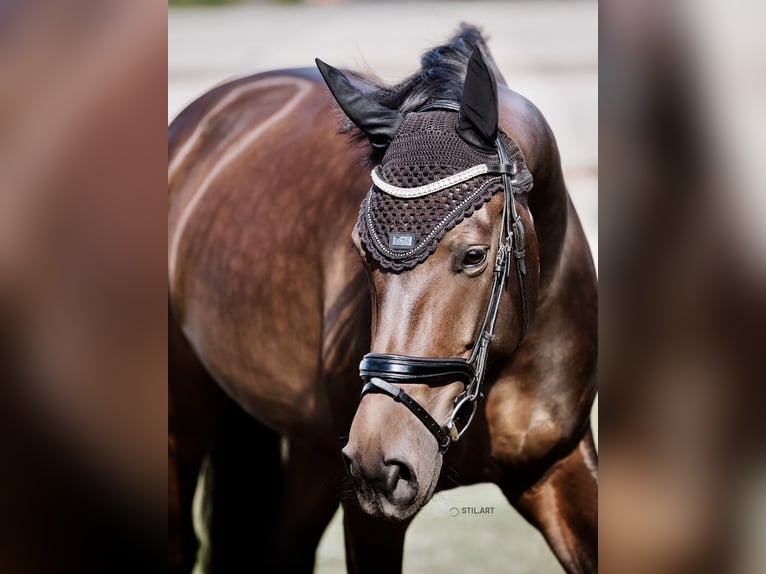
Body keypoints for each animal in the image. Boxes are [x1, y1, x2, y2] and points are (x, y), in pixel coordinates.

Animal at [168, 26, 597, 574]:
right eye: (359, 250)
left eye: (475, 255)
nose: (380, 460)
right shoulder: (368, 515)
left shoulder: (560, 466)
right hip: (188, 419)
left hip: (311, 451)